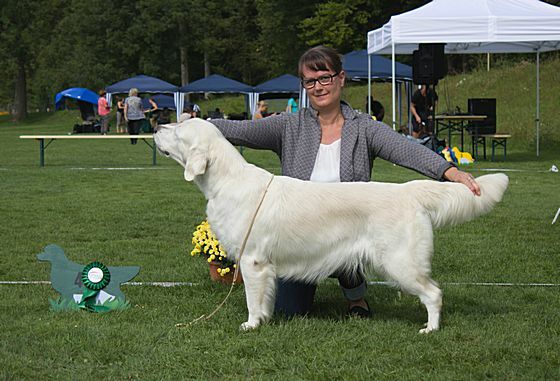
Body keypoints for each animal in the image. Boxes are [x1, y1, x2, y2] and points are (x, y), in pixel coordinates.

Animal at [152, 119, 508, 332]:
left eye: (178, 131)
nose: (156, 125)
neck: (226, 181)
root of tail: (407, 190)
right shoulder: (263, 267)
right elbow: (264, 299)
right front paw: (264, 319)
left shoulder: (253, 261)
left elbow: (253, 299)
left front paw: (251, 325)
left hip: (400, 262)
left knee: (434, 293)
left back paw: (430, 328)